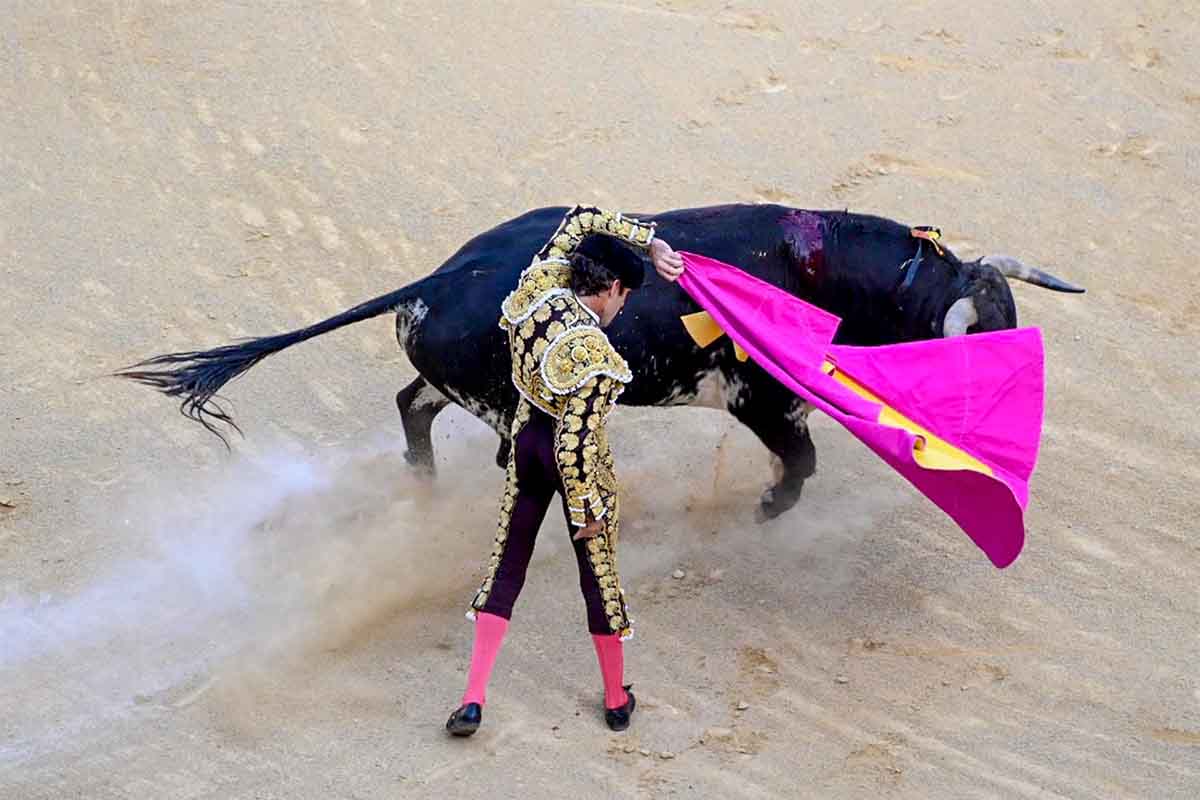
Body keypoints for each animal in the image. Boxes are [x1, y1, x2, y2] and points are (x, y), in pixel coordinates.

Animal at [117, 203, 1084, 522]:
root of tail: (438, 276)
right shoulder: (762, 402)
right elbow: (803, 461)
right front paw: (769, 511)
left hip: (454, 381)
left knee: (411, 407)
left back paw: (422, 487)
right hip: (506, 406)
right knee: (494, 452)